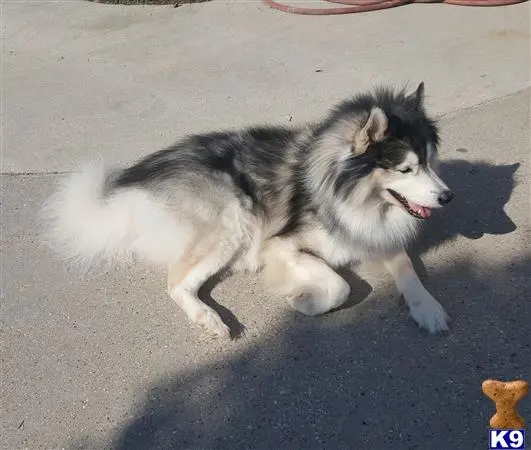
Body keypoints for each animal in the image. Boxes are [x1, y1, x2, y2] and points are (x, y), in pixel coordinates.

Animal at [43, 83, 456, 338]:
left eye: (429, 161)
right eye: (406, 169)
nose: (447, 198)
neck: (353, 193)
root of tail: (134, 186)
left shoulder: (372, 234)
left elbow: (406, 267)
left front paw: (428, 307)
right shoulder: (281, 244)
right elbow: (340, 286)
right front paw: (304, 300)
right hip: (234, 219)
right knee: (176, 283)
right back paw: (208, 318)